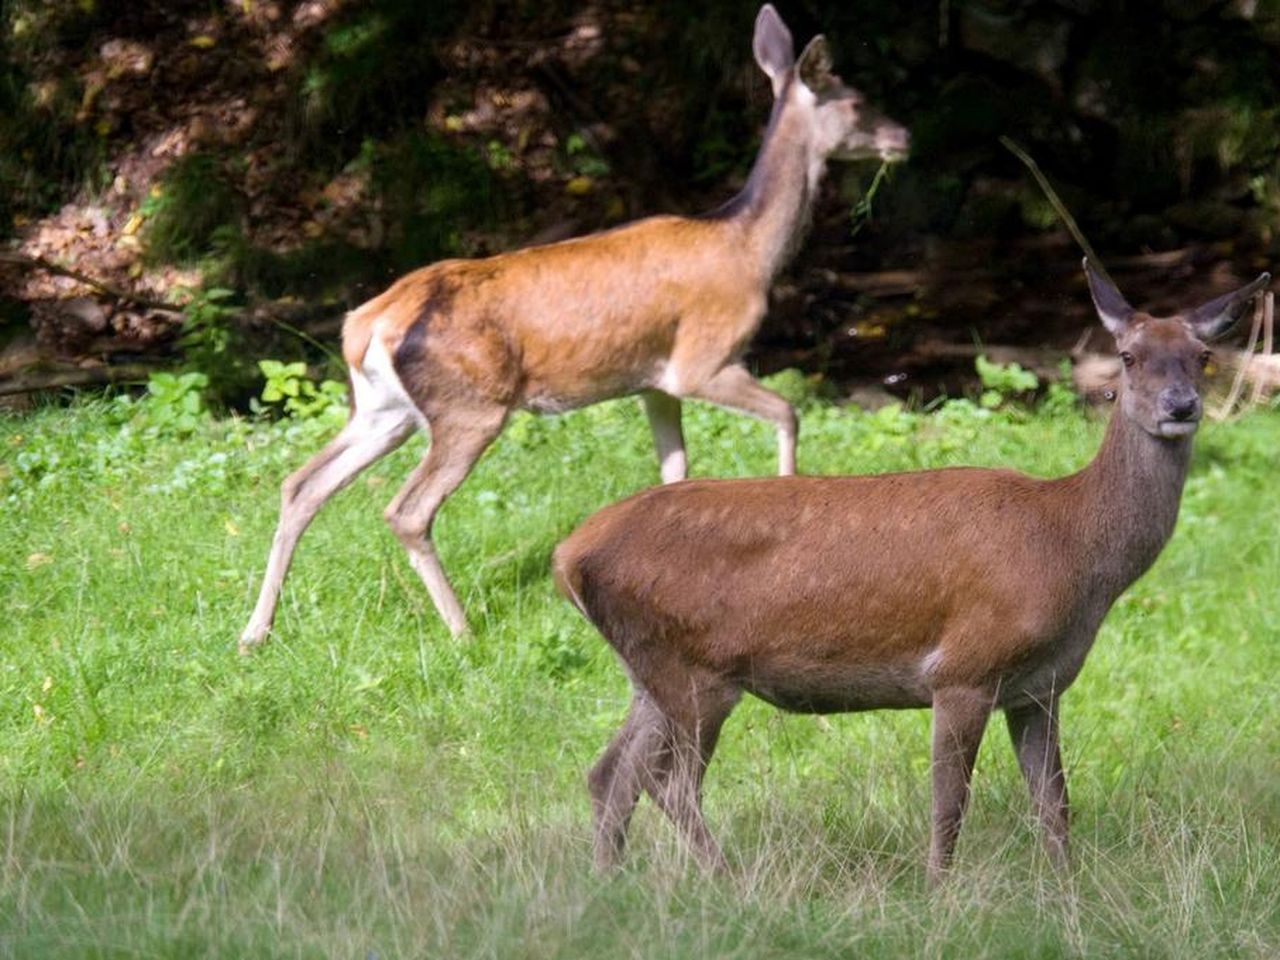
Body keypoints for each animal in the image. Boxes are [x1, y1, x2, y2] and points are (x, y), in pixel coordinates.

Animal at [240, 3, 911, 650]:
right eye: (855, 99)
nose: (903, 136)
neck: (747, 249)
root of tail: (368, 323)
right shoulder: (703, 358)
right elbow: (788, 413)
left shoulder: (653, 384)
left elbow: (675, 469)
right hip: (469, 407)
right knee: (406, 509)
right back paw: (461, 631)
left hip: (385, 410)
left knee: (301, 484)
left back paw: (255, 633)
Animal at [555, 259, 1264, 885]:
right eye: (1128, 357)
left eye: (1203, 356)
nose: (1181, 406)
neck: (1074, 551)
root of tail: (567, 556)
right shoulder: (965, 668)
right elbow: (950, 804)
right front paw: (937, 894)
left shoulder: (1040, 689)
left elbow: (1055, 805)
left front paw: (1068, 893)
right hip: (695, 669)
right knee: (667, 783)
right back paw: (728, 882)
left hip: (649, 670)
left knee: (609, 774)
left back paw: (608, 885)